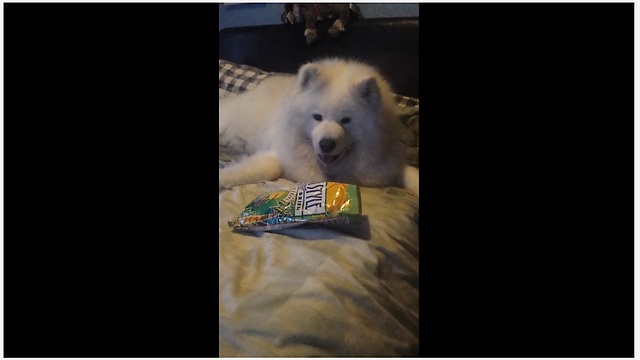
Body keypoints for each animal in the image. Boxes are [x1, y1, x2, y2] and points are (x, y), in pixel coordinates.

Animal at [220, 58, 420, 197]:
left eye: (345, 120)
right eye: (317, 117)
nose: (326, 144)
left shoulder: (388, 165)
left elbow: (409, 173)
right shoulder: (281, 155)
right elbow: (264, 169)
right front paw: (224, 177)